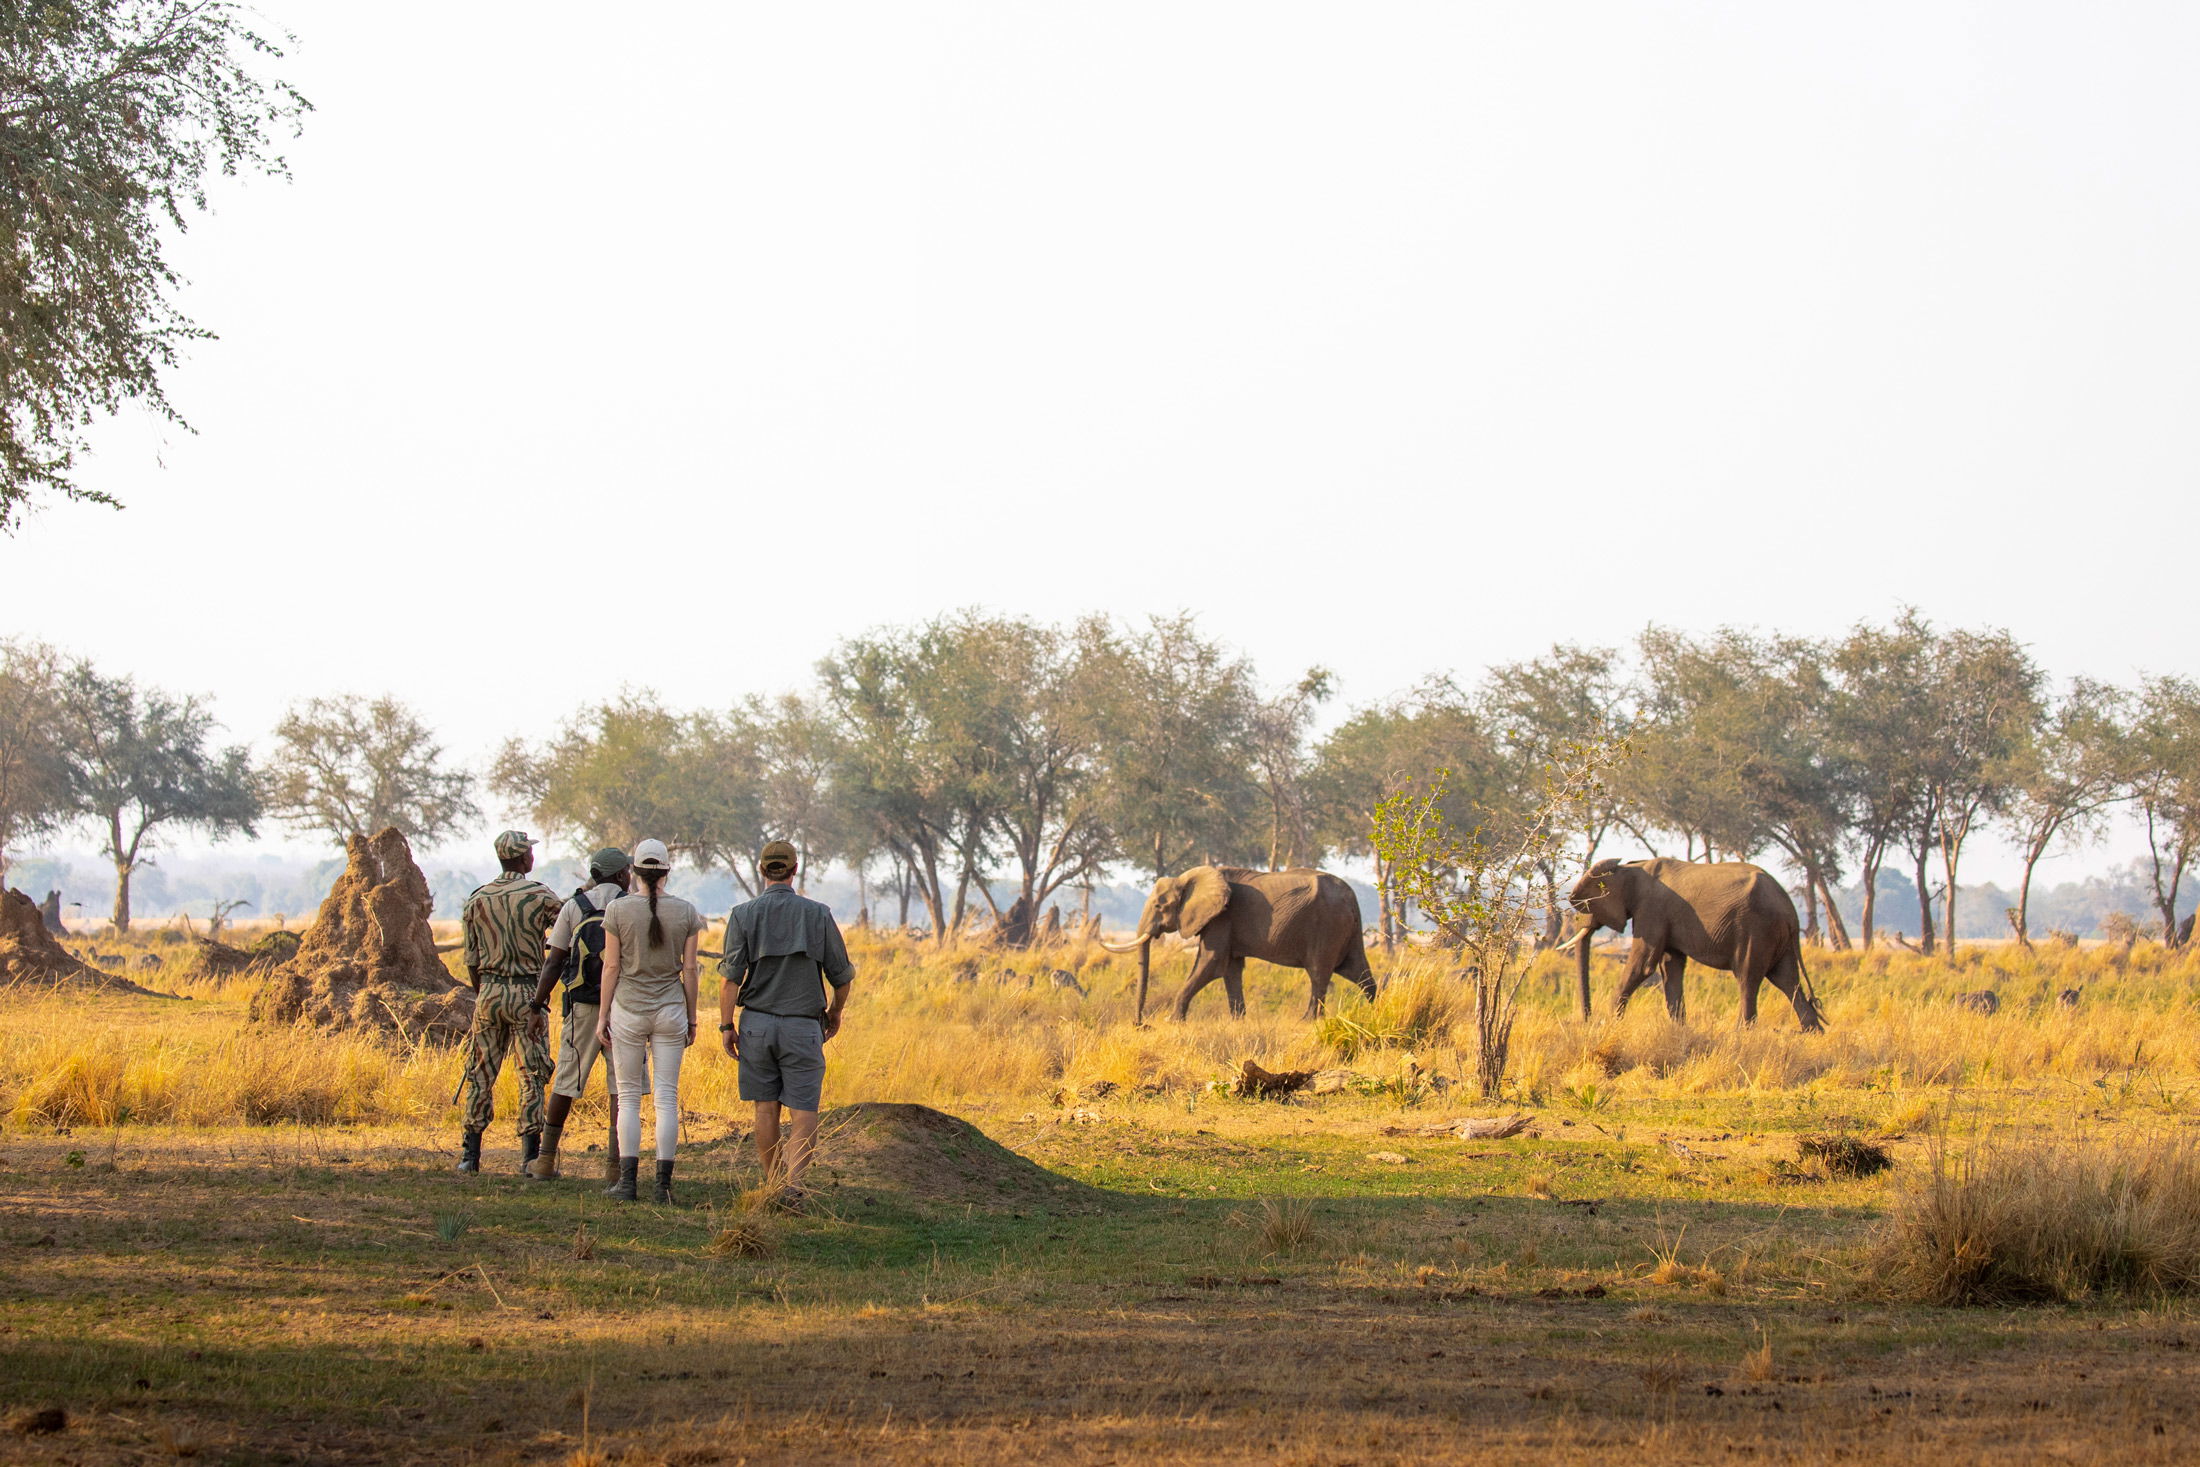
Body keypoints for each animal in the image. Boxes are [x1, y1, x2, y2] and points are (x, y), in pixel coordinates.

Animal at [1098, 866, 1376, 1020]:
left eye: (1158, 906)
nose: (1141, 1024)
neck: (1188, 878)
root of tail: (1352, 897)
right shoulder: (1225, 923)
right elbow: (1230, 969)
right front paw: (1237, 1020)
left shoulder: (1221, 917)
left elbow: (1210, 964)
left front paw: (1172, 1020)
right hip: (1346, 929)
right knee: (1358, 971)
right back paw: (1374, 1011)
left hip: (1326, 926)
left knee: (1319, 973)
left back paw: (1307, 1021)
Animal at [1557, 857, 1825, 1031]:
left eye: (1588, 906)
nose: (1589, 1020)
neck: (1630, 868)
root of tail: (1791, 910)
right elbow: (1671, 966)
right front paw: (1680, 1029)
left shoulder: (1652, 910)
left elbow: (1642, 965)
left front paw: (1610, 1023)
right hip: (1778, 936)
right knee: (1786, 980)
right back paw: (1812, 1033)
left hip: (1757, 929)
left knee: (1748, 977)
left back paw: (1741, 1033)